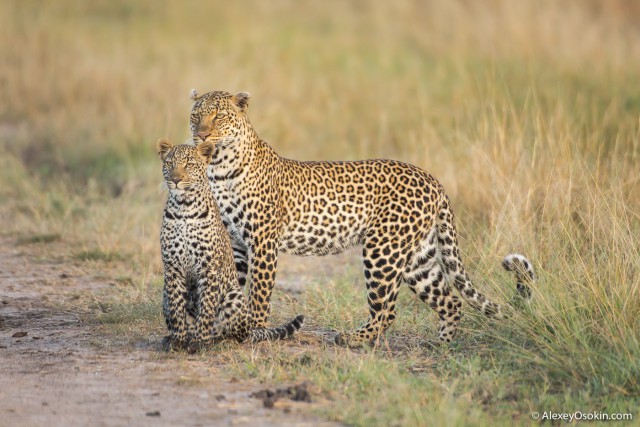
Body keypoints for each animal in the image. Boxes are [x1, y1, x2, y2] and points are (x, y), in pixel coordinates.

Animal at [157, 139, 302, 352]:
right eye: (169, 163)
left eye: (189, 164)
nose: (176, 179)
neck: (184, 208)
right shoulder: (173, 267)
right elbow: (177, 309)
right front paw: (177, 340)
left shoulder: (209, 268)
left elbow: (206, 308)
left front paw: (201, 342)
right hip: (164, 296)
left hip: (233, 297)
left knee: (237, 333)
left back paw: (219, 340)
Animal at [186, 90, 536, 348]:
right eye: (195, 116)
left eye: (219, 116)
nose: (201, 134)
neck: (219, 167)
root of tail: (433, 180)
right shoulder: (236, 244)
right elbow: (232, 287)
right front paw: (226, 327)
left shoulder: (262, 243)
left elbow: (258, 294)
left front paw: (256, 332)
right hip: (418, 258)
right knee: (450, 301)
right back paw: (442, 346)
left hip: (383, 250)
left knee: (387, 311)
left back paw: (353, 339)